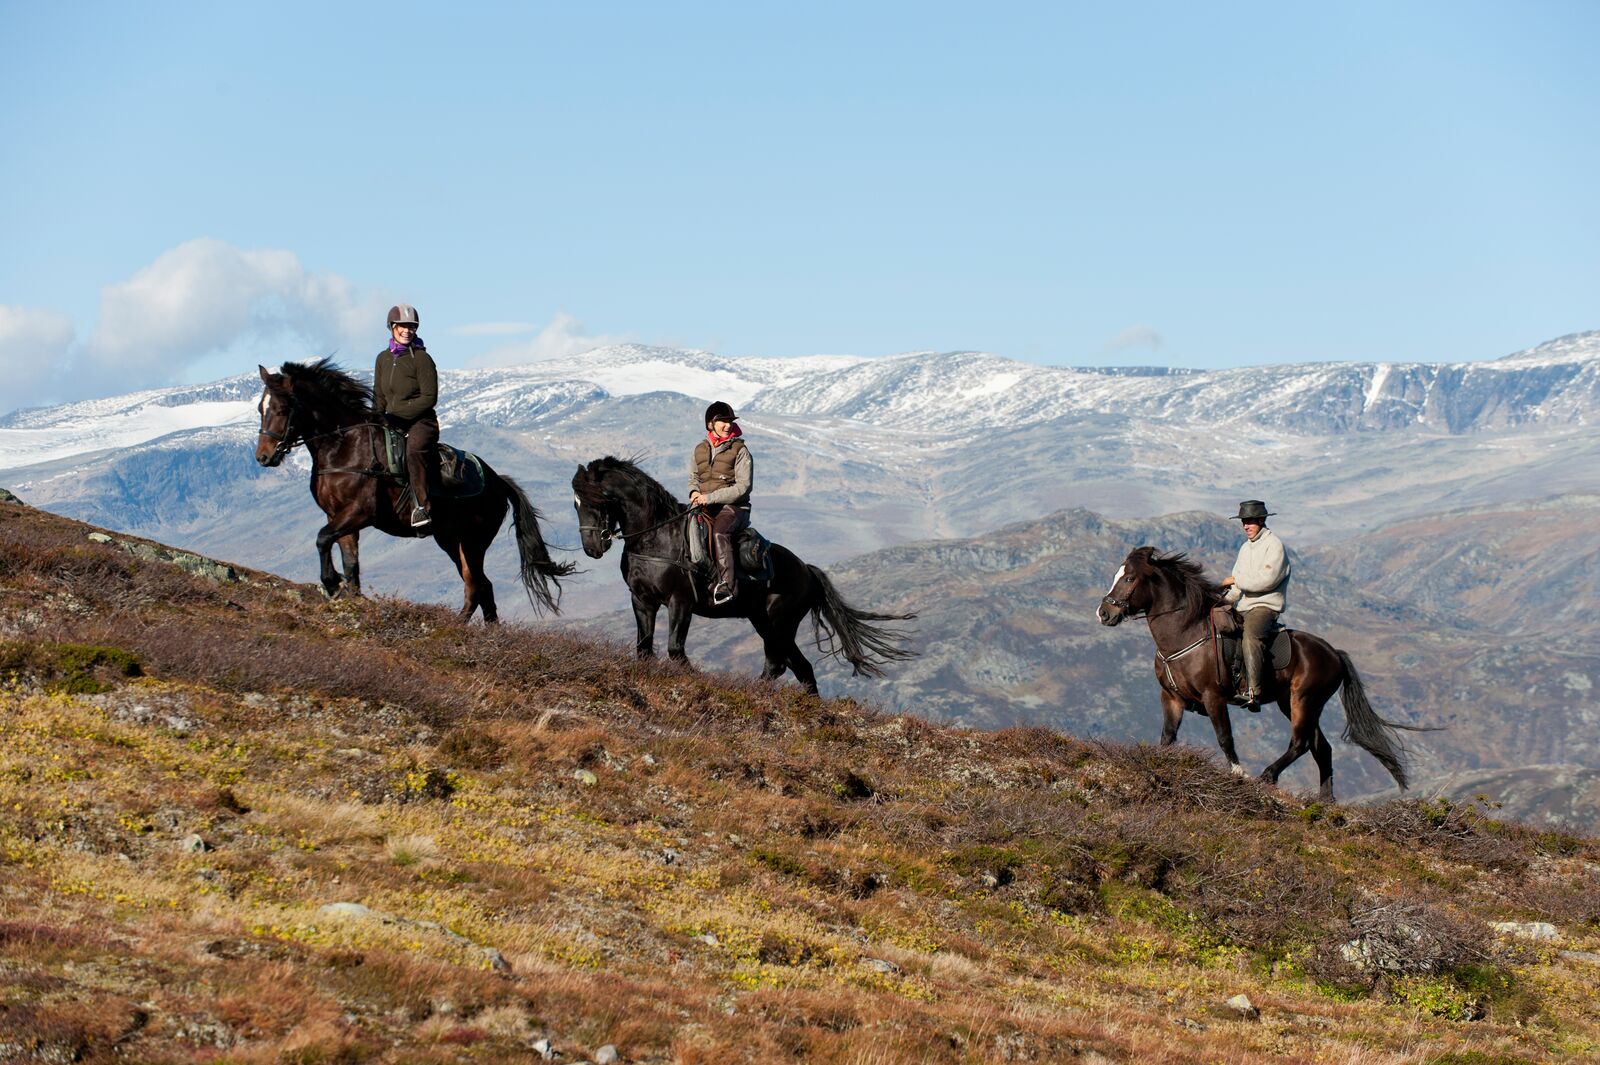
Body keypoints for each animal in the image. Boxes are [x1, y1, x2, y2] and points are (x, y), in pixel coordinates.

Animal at [249, 361, 576, 617]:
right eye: (260, 408)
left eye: (283, 408)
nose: (263, 457)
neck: (343, 447)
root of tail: (497, 481)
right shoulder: (340, 518)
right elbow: (350, 564)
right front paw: (348, 595)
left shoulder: (359, 513)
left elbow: (321, 539)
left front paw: (331, 583)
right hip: (451, 540)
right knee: (483, 588)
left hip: (473, 542)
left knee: (476, 587)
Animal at [572, 454, 915, 687]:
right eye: (576, 503)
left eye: (599, 499)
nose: (592, 548)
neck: (656, 539)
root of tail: (807, 570)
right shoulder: (642, 601)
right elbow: (644, 648)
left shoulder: (680, 602)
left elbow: (675, 649)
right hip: (763, 621)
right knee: (798, 667)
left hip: (779, 623)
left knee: (781, 665)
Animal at [1100, 543, 1427, 793]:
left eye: (1129, 578)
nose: (1104, 612)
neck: (1185, 633)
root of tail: (1334, 653)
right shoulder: (1172, 698)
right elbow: (1167, 738)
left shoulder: (1213, 698)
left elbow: (1225, 737)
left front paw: (1239, 774)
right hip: (1293, 703)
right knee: (1321, 748)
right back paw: (1325, 801)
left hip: (1304, 700)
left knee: (1301, 743)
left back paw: (1267, 775)